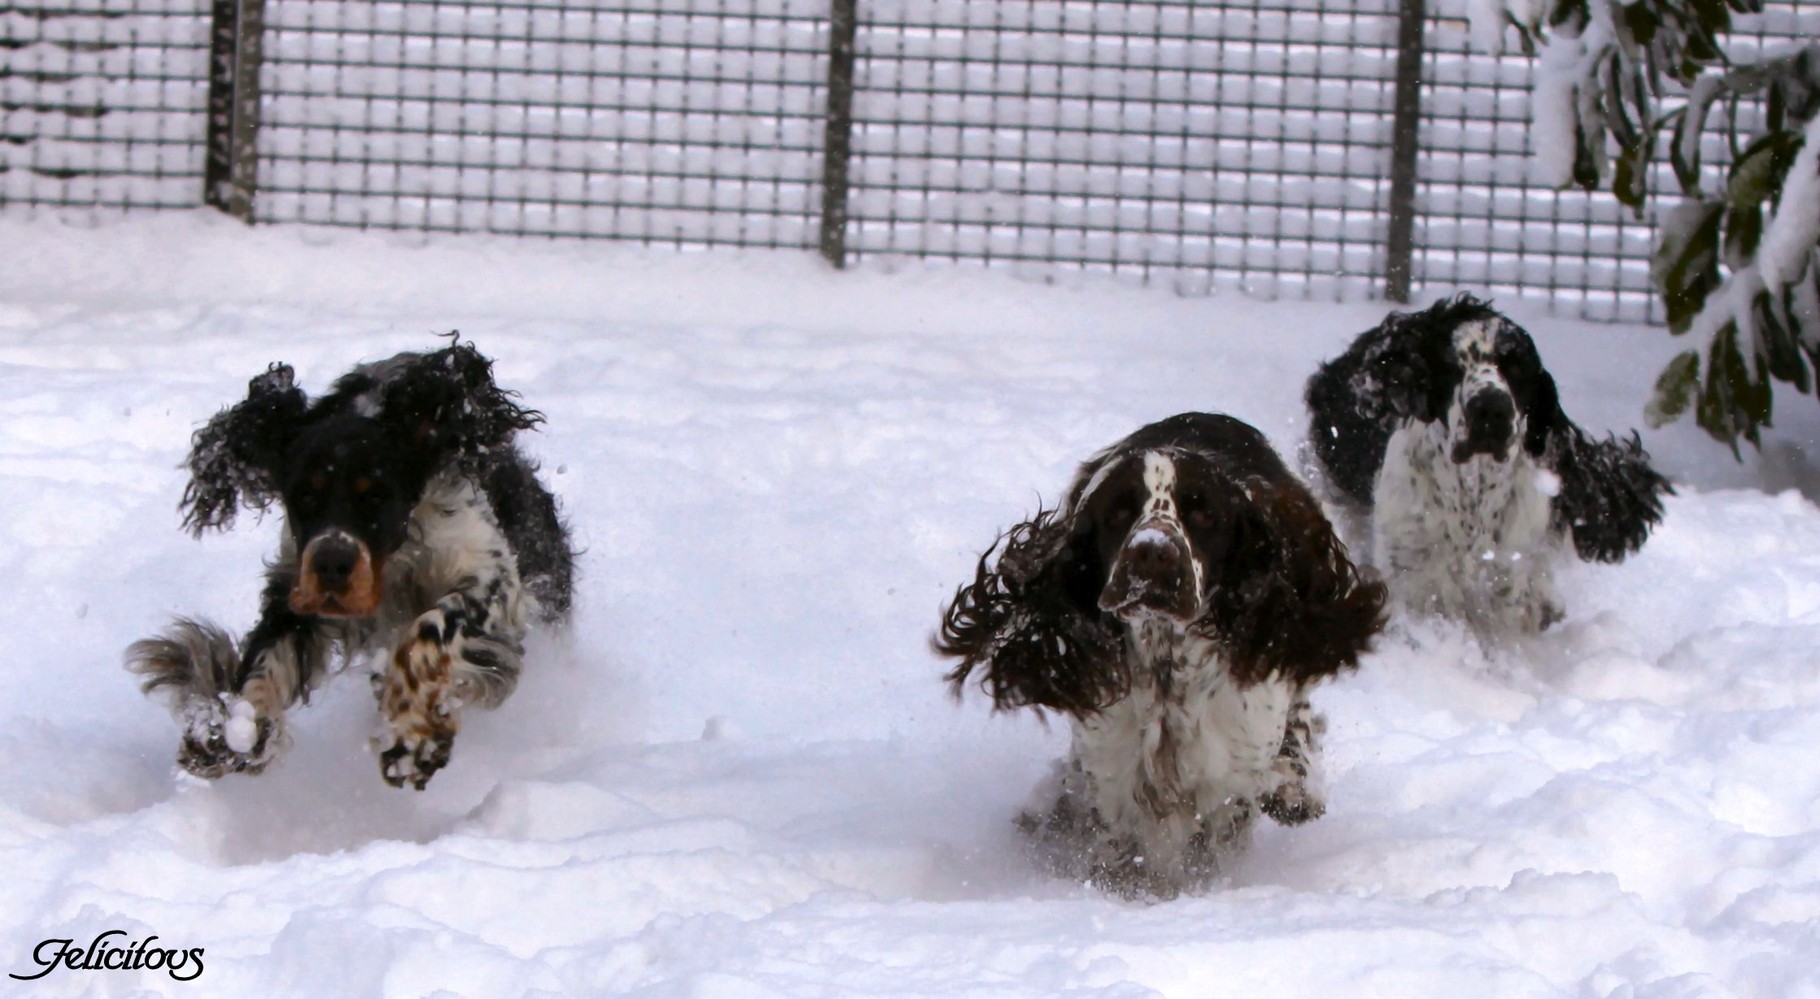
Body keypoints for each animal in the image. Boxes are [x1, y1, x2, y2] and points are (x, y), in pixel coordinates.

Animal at [126, 338, 567, 789]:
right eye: (304, 495)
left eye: (375, 495)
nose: (333, 566)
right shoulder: (296, 584)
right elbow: (268, 659)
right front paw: (234, 732)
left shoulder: (490, 576)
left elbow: (429, 630)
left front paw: (412, 739)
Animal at [931, 413, 1383, 895]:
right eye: (1118, 512)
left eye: (1203, 514)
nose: (1152, 553)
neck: (1168, 666)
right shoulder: (1111, 770)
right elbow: (1117, 848)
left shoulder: (1228, 781)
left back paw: (1296, 788)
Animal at [1303, 296, 1667, 640]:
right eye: (1451, 366)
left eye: (1518, 367)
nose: (1491, 409)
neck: (1473, 491)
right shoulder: (1415, 574)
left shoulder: (1505, 575)